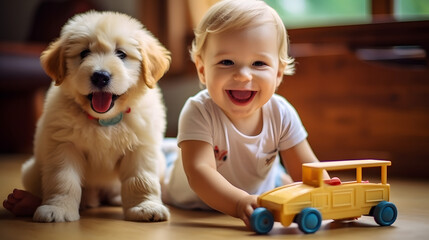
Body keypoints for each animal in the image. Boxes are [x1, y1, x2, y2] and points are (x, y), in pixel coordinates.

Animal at [19, 10, 171, 221]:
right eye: (84, 53)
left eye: (121, 54)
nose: (100, 76)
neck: (104, 121)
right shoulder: (63, 146)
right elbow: (62, 179)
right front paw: (58, 208)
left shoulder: (141, 148)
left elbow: (141, 179)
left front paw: (145, 207)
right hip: (31, 171)